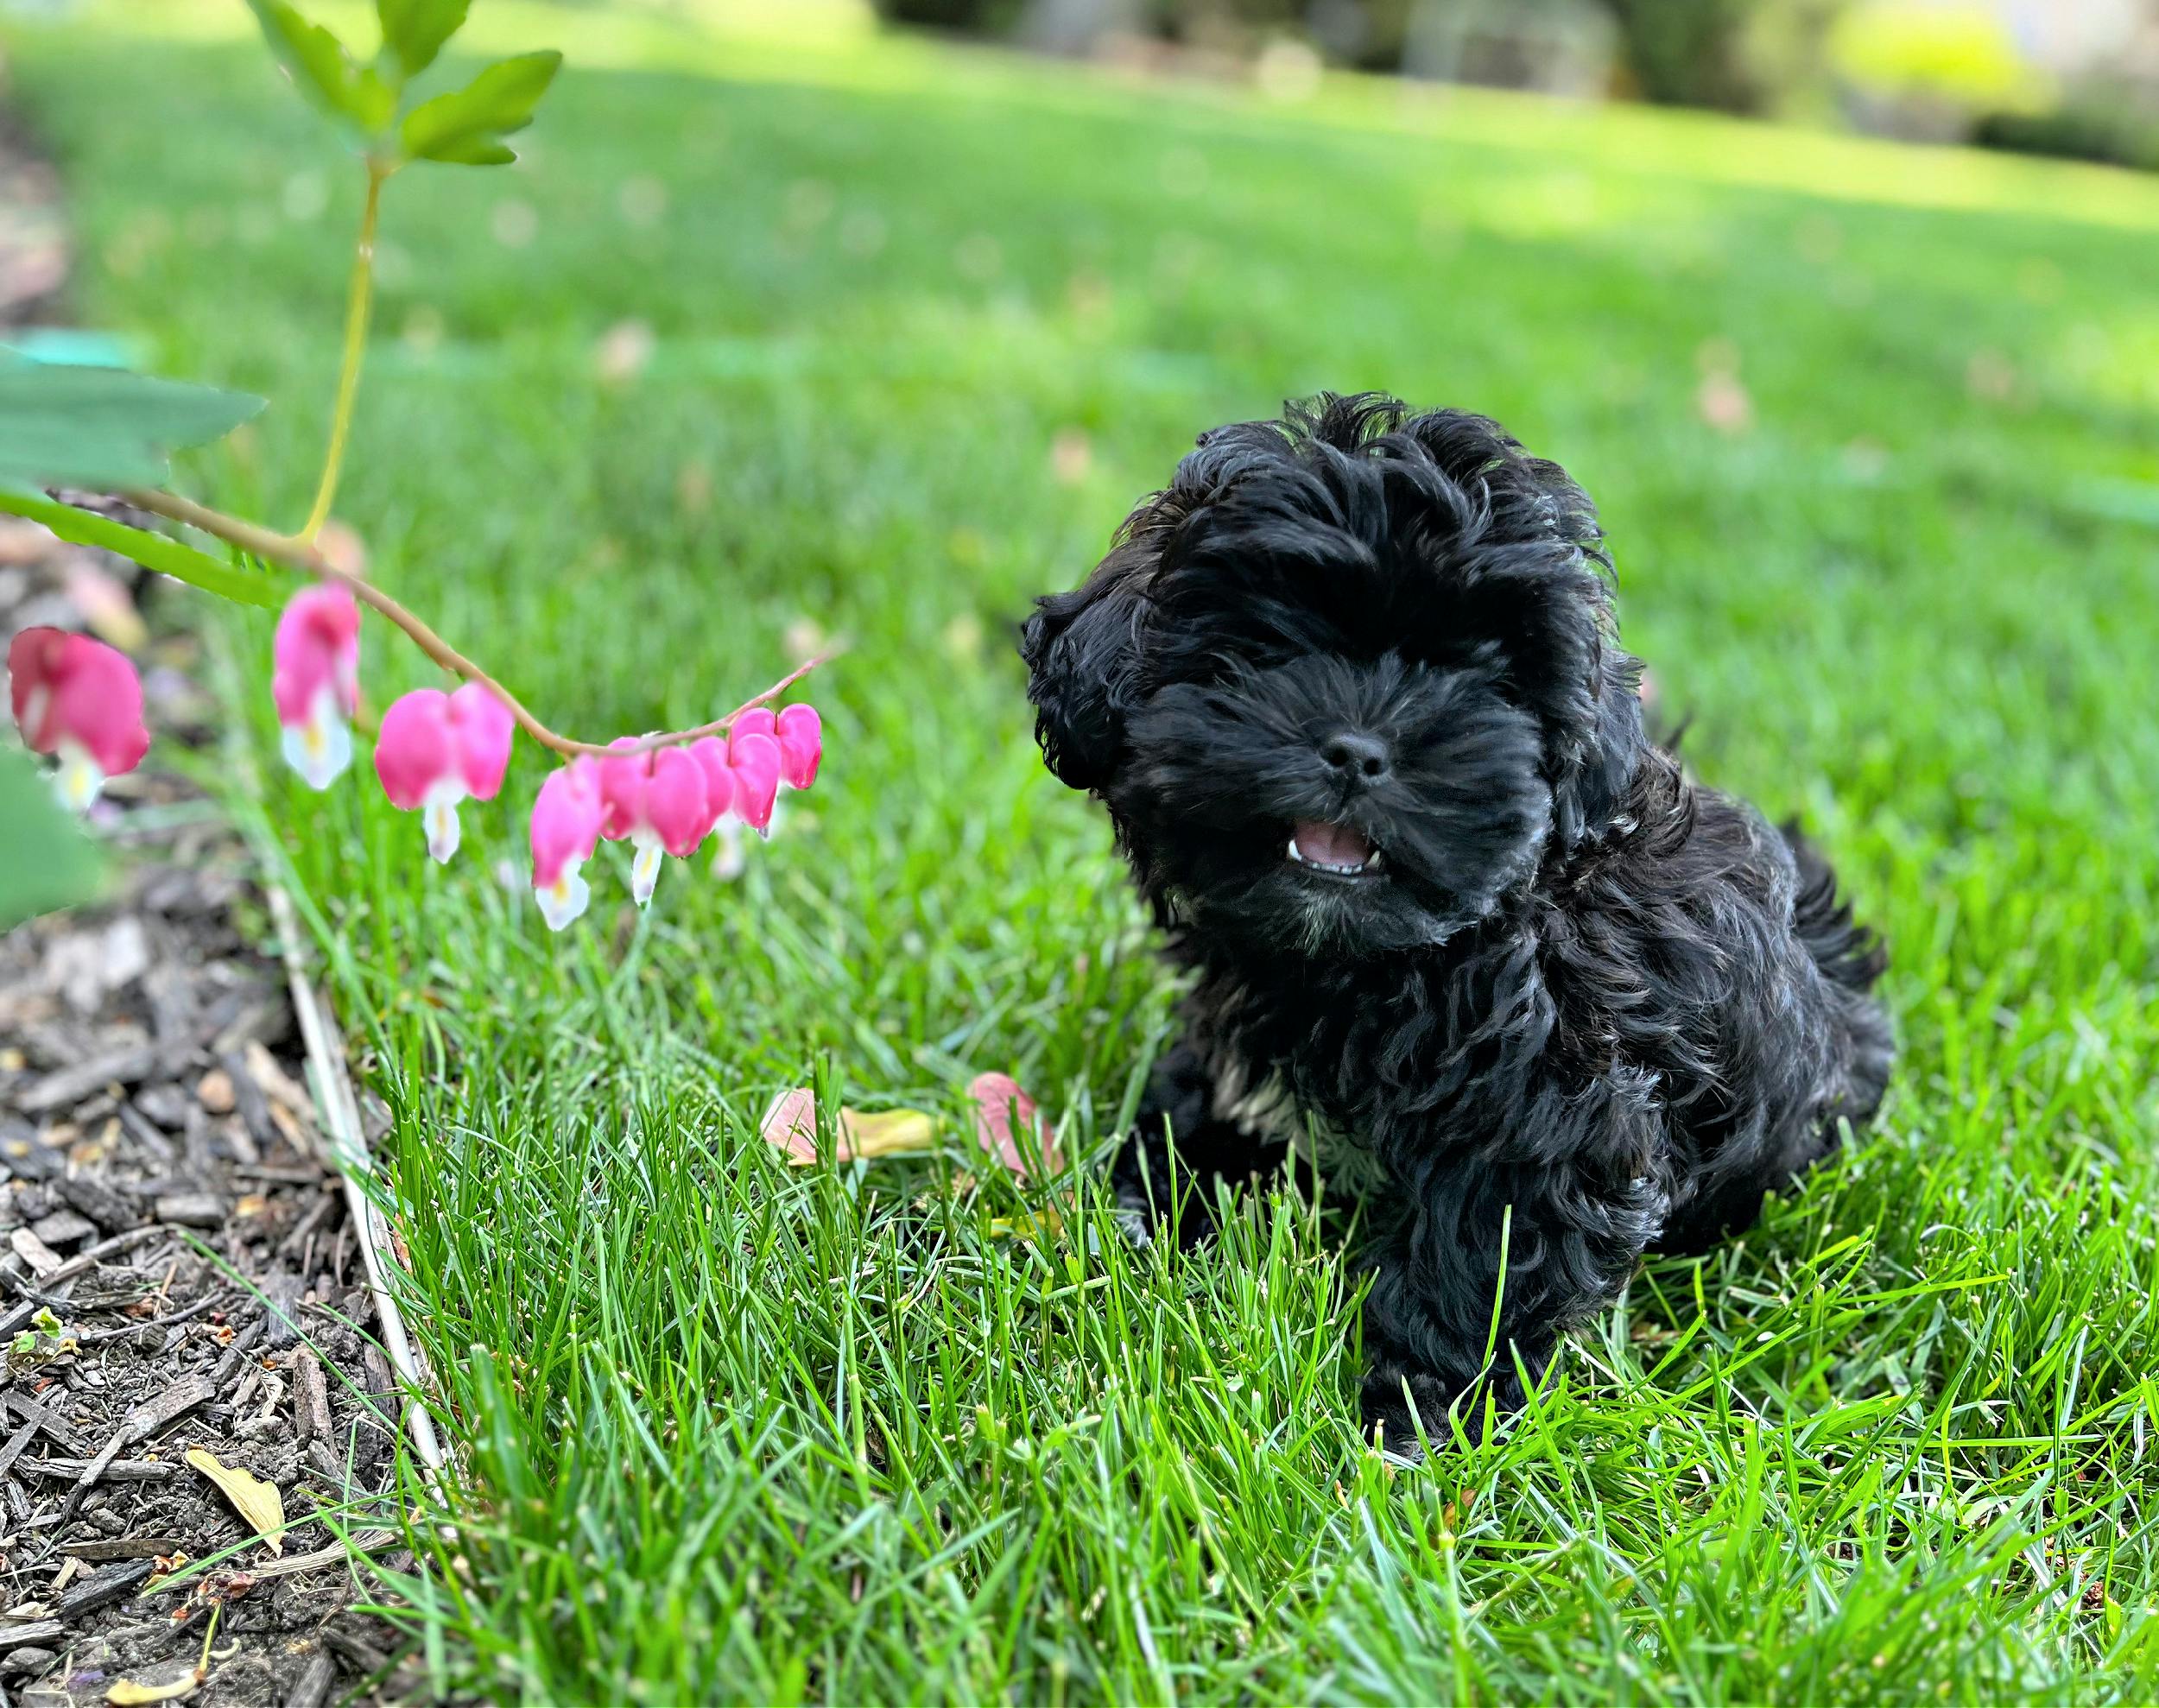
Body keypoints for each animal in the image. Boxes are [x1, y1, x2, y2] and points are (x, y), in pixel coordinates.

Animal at [1019, 397, 1883, 1442]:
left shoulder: (1556, 1113)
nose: (1358, 750)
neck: (1381, 957)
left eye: (1478, 679)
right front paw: (1142, 1208)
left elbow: (1482, 1263)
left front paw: (1412, 1417)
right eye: (1272, 646)